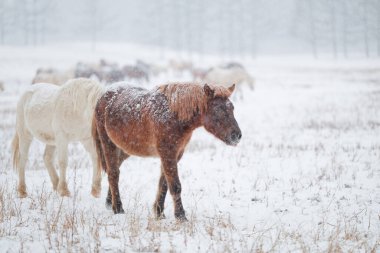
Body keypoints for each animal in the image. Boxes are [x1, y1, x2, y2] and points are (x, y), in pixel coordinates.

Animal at [91, 82, 240, 220]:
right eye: (218, 110)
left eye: (232, 108)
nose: (237, 136)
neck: (173, 115)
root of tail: (103, 96)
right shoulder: (167, 153)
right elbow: (175, 186)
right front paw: (180, 216)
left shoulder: (175, 154)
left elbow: (164, 184)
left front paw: (159, 213)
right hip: (108, 144)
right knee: (113, 173)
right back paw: (118, 208)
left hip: (124, 149)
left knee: (115, 169)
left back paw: (109, 203)